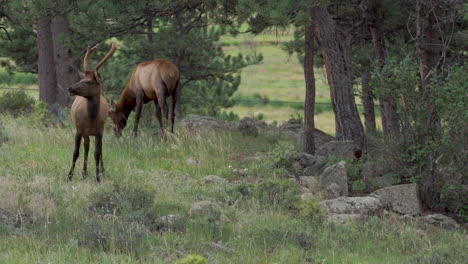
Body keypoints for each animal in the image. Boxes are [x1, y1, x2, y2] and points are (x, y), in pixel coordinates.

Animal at [67, 43, 117, 184]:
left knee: (98, 150)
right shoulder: (79, 130)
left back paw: (100, 171)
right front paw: (69, 176)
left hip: (97, 133)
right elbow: (75, 153)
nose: (70, 88)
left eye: (88, 82)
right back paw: (84, 173)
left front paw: (98, 178)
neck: (91, 118)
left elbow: (97, 153)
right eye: (82, 79)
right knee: (86, 147)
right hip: (85, 133)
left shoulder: (99, 131)